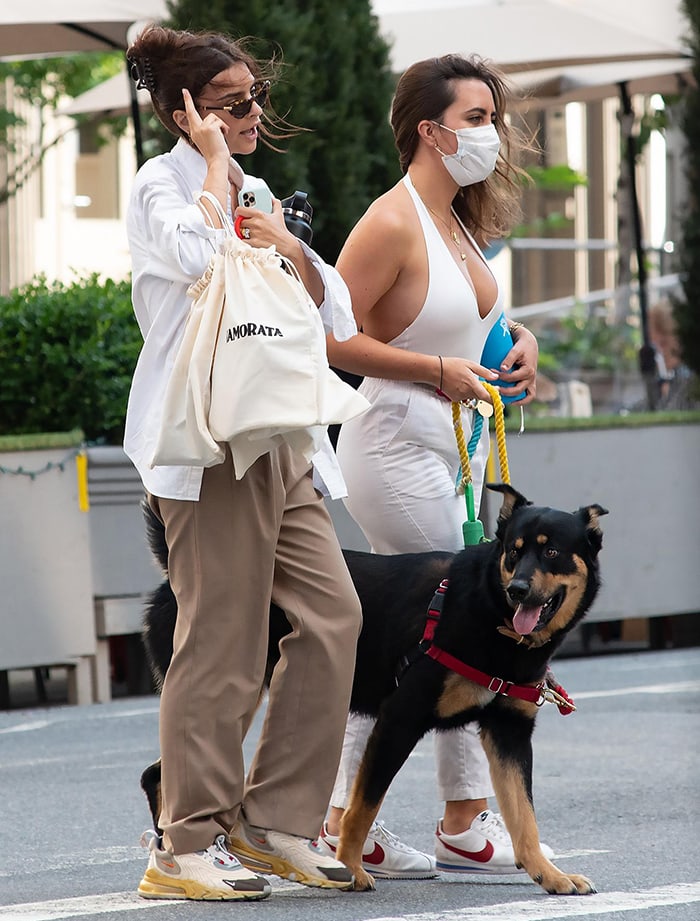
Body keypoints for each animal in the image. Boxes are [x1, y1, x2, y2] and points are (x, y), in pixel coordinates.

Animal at [139, 486, 604, 896]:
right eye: (513, 550)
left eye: (551, 552)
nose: (518, 590)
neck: (489, 611)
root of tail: (175, 574)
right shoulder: (399, 719)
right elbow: (362, 808)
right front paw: (349, 868)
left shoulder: (509, 733)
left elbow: (524, 816)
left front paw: (549, 875)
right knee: (164, 775)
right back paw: (180, 857)